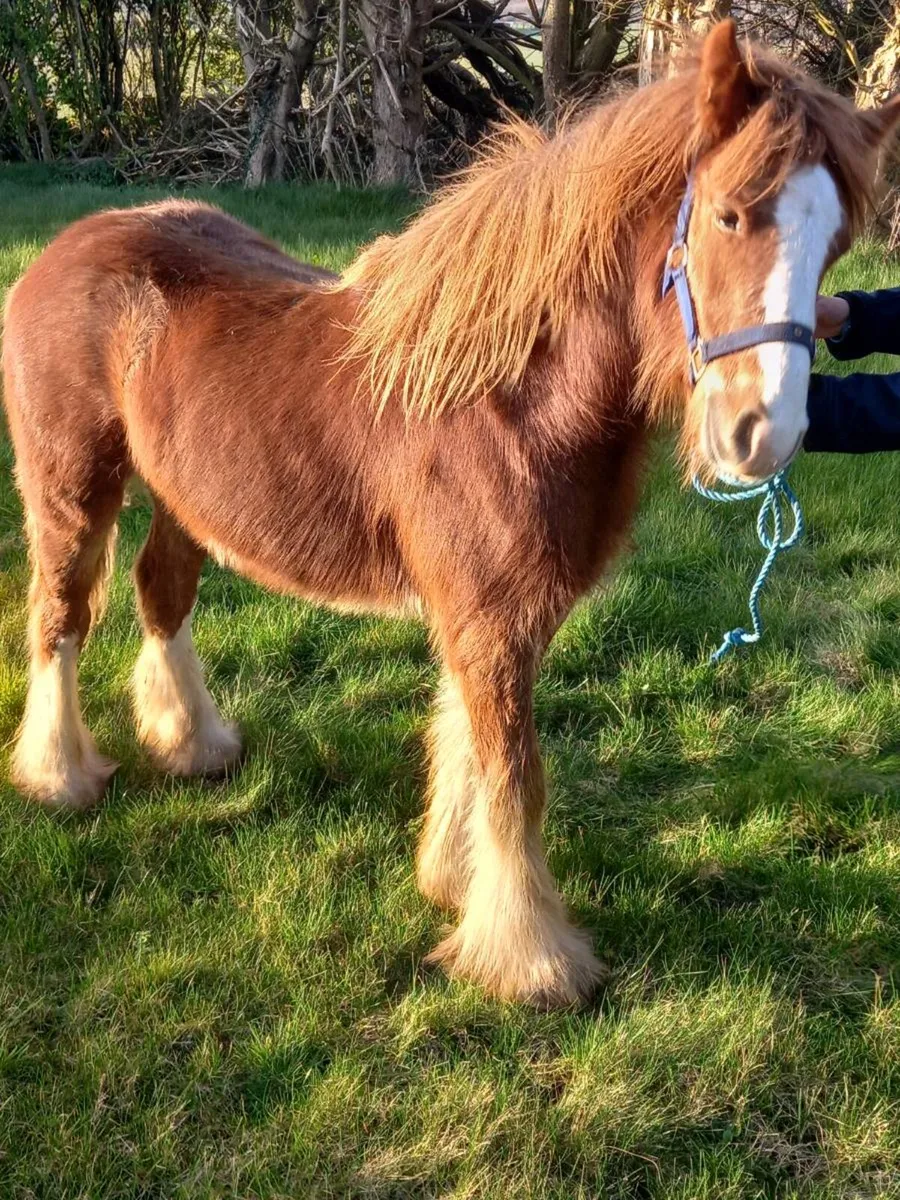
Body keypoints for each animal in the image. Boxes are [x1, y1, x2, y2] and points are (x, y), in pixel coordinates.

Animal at [4, 20, 899, 1008]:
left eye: (835, 245)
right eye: (731, 215)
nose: (761, 433)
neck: (508, 397)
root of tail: (68, 247)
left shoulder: (500, 614)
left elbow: (469, 744)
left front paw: (456, 882)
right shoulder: (487, 615)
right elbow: (514, 774)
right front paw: (532, 959)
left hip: (182, 495)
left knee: (160, 591)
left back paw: (194, 744)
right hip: (72, 488)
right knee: (59, 617)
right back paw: (60, 776)